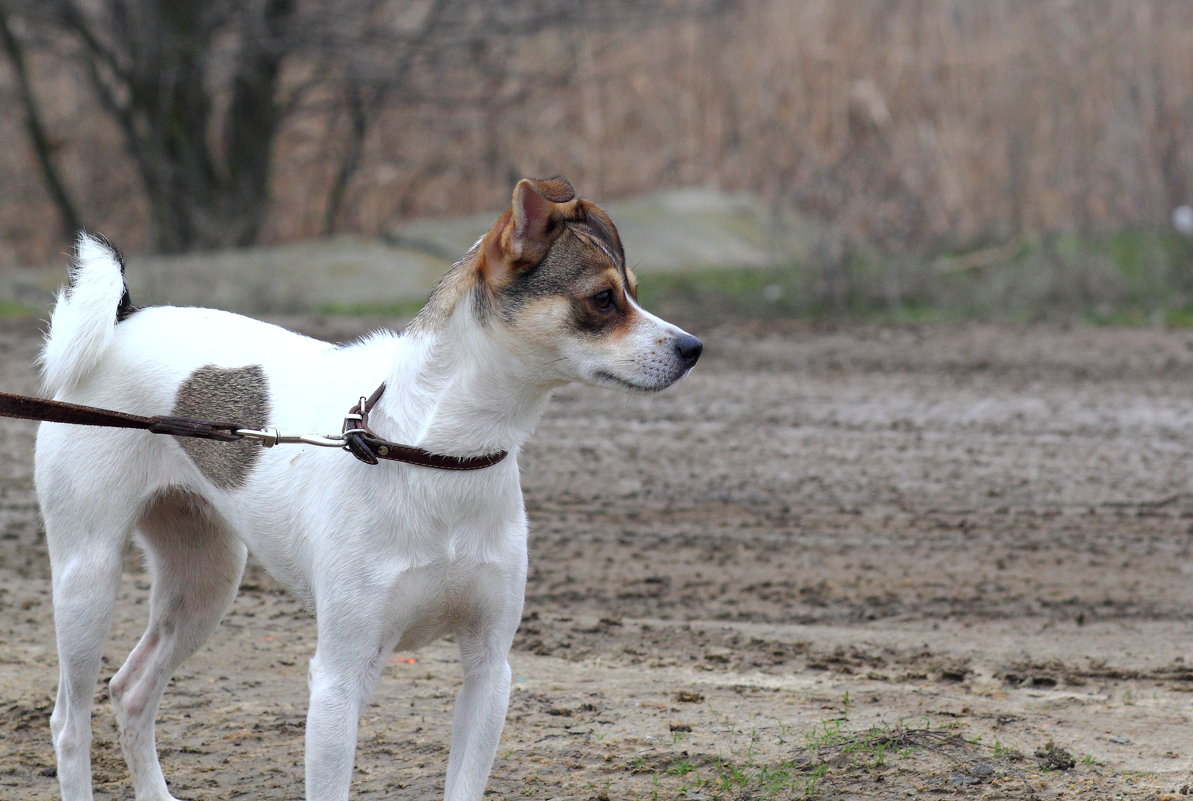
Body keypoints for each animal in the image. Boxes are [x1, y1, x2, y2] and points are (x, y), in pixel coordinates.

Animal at [37, 180, 701, 801]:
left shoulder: (489, 670)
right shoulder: (339, 679)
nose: (693, 348)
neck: (438, 455)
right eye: (603, 299)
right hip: (87, 580)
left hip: (206, 581)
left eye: (634, 290)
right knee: (69, 722)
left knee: (130, 690)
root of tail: (124, 319)